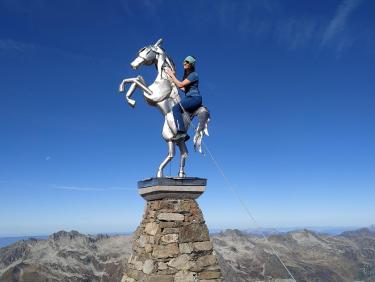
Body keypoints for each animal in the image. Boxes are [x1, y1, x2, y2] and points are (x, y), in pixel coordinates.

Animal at [119, 38, 210, 177]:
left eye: (145, 50)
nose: (132, 65)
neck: (164, 79)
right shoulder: (149, 93)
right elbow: (137, 79)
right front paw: (125, 93)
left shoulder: (152, 95)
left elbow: (136, 80)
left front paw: (131, 101)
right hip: (169, 138)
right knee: (178, 153)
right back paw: (172, 174)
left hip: (175, 136)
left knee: (179, 153)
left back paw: (170, 174)